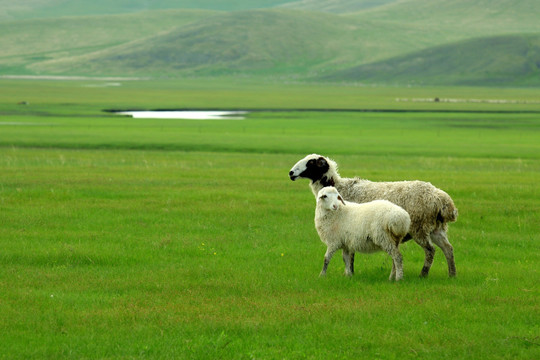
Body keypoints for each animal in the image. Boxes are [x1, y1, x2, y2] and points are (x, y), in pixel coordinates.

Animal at [288, 153, 458, 278]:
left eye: (311, 162)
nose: (291, 173)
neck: (338, 187)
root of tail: (441, 199)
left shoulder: (350, 229)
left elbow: (349, 256)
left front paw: (350, 273)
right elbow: (347, 255)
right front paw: (348, 274)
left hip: (419, 227)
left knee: (430, 251)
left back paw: (423, 274)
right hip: (436, 228)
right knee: (448, 249)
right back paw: (452, 275)